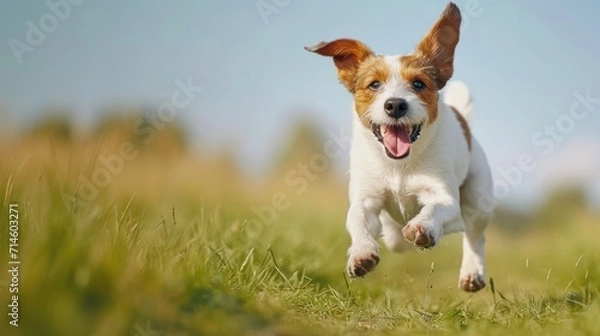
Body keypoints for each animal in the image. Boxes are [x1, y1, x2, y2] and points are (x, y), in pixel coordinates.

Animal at [308, 2, 494, 292]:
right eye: (374, 84)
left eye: (418, 84)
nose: (395, 105)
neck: (398, 165)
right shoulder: (365, 199)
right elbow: (359, 220)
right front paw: (361, 253)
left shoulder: (444, 196)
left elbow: (435, 208)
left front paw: (423, 227)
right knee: (396, 235)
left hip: (479, 198)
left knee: (472, 233)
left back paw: (470, 270)